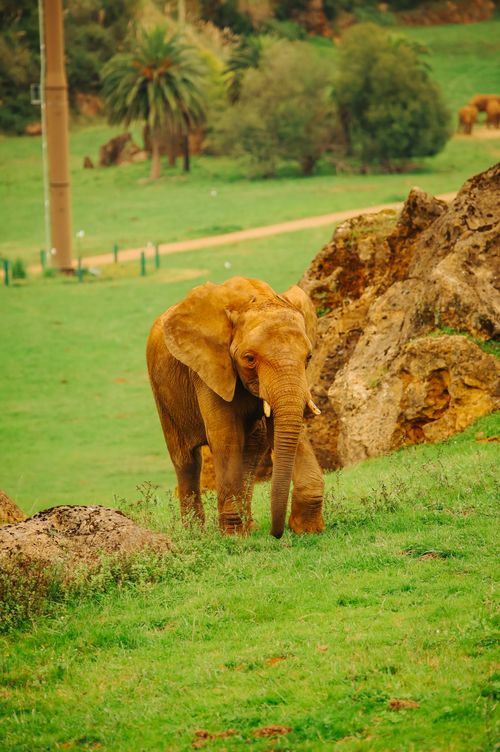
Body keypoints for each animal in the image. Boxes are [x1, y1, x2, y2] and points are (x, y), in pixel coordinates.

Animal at [146, 276, 325, 539]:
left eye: (309, 357)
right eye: (249, 358)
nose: (276, 533)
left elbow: (287, 430)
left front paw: (308, 530)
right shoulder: (208, 366)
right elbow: (225, 436)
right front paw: (232, 536)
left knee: (252, 450)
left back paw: (248, 527)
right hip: (161, 391)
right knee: (186, 460)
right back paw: (196, 533)